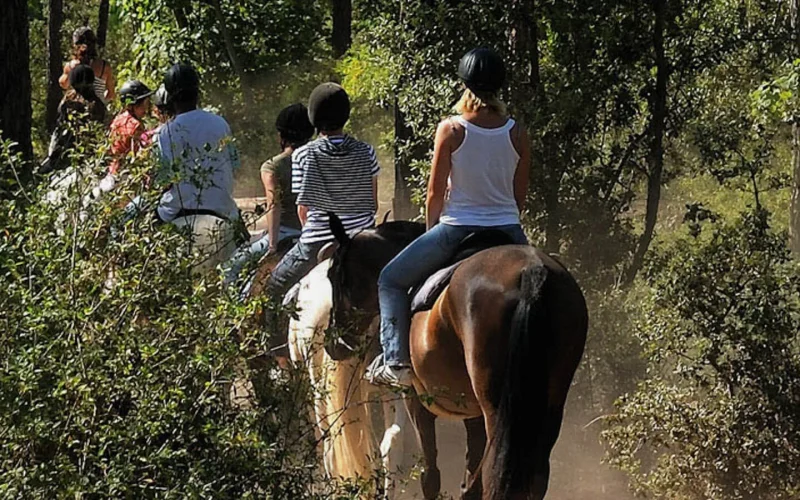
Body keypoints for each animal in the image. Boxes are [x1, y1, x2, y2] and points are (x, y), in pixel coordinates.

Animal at [324, 218, 588, 500]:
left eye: (334, 276)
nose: (333, 344)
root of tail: (531, 274)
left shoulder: (417, 402)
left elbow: (431, 474)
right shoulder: (472, 412)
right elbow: (469, 471)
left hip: (496, 410)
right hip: (547, 407)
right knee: (534, 475)